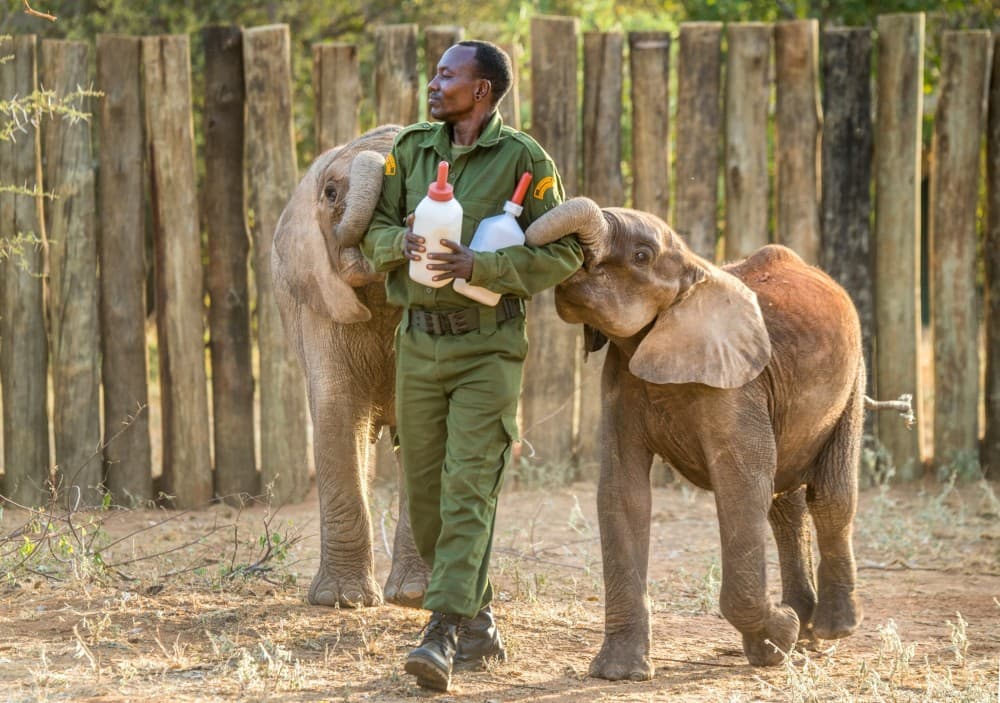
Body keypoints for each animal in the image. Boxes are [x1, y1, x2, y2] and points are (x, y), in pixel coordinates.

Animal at [524, 198, 865, 677]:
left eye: (642, 255)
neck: (694, 271)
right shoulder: (621, 378)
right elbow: (622, 493)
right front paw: (619, 673)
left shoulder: (737, 385)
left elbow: (742, 488)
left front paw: (777, 639)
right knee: (785, 506)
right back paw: (806, 630)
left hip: (854, 378)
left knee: (830, 495)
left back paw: (830, 629)